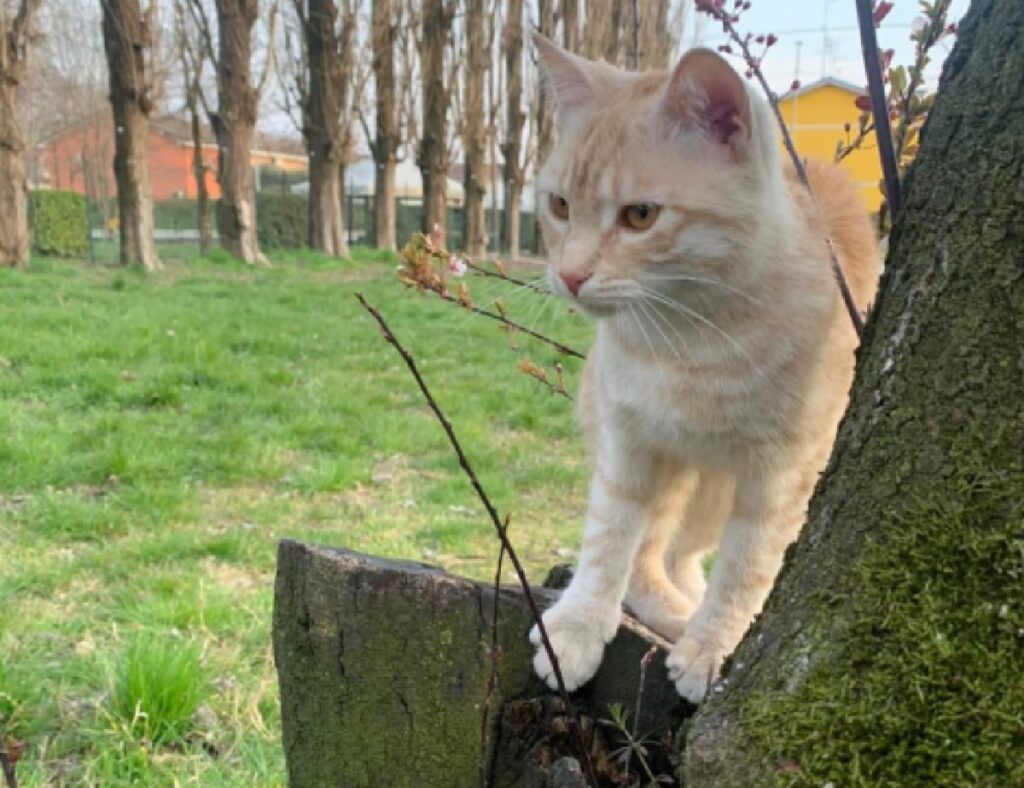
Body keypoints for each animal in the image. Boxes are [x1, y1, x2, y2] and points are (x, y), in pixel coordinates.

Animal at [528, 33, 880, 704]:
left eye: (640, 216)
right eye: (559, 206)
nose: (570, 275)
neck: (690, 343)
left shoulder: (782, 476)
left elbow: (748, 564)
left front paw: (716, 643)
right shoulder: (629, 444)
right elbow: (609, 539)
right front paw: (577, 626)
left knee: (681, 557)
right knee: (651, 560)